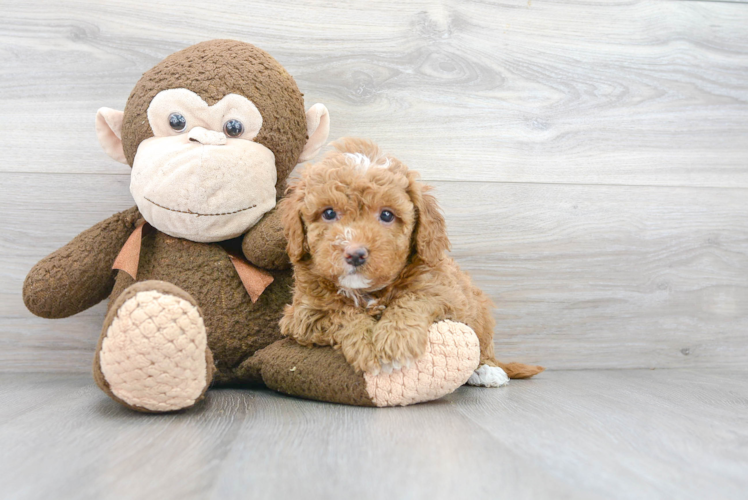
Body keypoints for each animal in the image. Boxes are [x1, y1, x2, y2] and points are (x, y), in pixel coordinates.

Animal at [280, 139, 544, 380]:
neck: (368, 292)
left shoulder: (444, 292)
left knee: (484, 343)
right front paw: (366, 345)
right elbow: (341, 314)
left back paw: (488, 370)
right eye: (328, 213)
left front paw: (395, 339)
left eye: (387, 215)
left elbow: (413, 298)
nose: (354, 254)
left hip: (479, 310)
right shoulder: (303, 313)